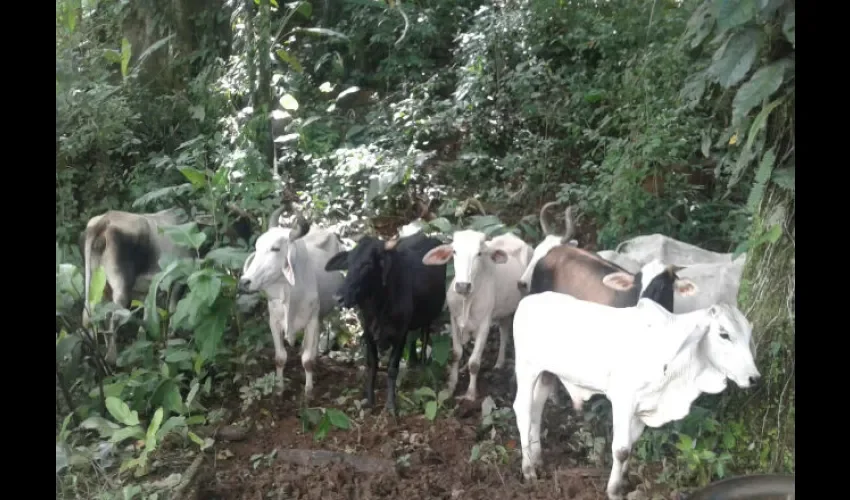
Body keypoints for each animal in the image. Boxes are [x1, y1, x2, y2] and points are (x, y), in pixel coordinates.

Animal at [237, 217, 342, 396]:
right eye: (257, 247)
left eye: (275, 248)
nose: (244, 282)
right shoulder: (273, 322)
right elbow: (280, 358)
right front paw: (279, 388)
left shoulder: (311, 320)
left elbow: (307, 361)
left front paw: (308, 390)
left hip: (319, 313)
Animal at [422, 231, 532, 402]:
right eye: (454, 251)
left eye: (479, 253)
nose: (462, 286)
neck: (467, 301)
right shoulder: (454, 319)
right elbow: (456, 353)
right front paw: (451, 386)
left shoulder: (484, 324)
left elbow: (474, 363)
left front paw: (470, 393)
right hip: (503, 311)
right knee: (504, 331)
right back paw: (499, 363)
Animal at [510, 268, 756, 498]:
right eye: (724, 334)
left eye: (748, 335)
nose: (754, 377)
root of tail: (528, 301)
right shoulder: (623, 399)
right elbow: (621, 449)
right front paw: (613, 490)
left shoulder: (644, 404)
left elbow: (632, 444)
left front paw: (624, 480)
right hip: (526, 368)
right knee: (523, 410)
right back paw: (529, 469)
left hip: (546, 374)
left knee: (536, 409)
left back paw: (537, 458)